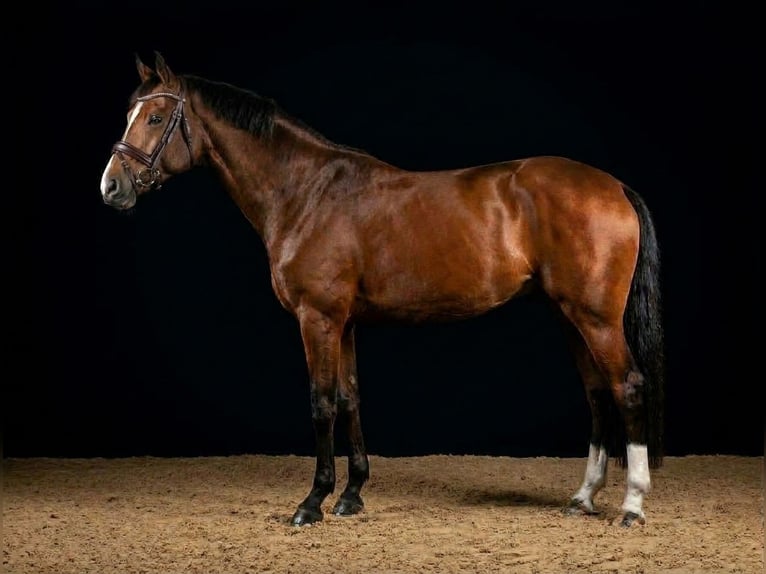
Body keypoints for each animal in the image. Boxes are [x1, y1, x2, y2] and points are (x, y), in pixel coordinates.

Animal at [100, 52, 665, 528]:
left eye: (155, 118)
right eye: (130, 114)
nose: (111, 187)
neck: (307, 192)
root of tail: (614, 186)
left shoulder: (318, 318)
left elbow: (322, 402)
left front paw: (312, 502)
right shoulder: (344, 321)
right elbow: (350, 397)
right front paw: (351, 495)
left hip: (595, 318)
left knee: (628, 386)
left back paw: (633, 505)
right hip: (571, 316)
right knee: (597, 393)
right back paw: (583, 498)